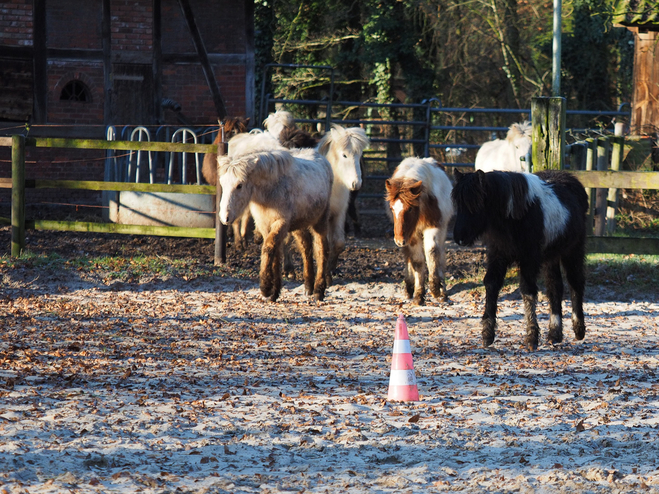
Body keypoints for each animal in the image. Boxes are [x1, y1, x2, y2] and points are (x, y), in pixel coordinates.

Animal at [219, 131, 332, 302]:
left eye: (239, 185)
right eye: (222, 184)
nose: (224, 217)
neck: (269, 192)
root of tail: (323, 160)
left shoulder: (281, 223)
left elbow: (268, 248)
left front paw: (265, 288)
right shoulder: (265, 225)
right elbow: (275, 252)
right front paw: (274, 291)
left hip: (320, 221)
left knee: (321, 249)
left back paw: (319, 290)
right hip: (299, 224)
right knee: (306, 248)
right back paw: (308, 286)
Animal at [386, 158, 454, 304]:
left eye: (410, 208)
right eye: (392, 208)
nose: (398, 240)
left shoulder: (434, 228)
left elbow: (432, 253)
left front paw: (436, 290)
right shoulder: (411, 235)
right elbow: (417, 261)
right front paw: (418, 295)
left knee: (440, 253)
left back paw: (442, 289)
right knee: (408, 257)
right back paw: (409, 288)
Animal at [454, 170, 588, 352]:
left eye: (475, 205)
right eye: (457, 204)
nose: (459, 238)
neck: (515, 215)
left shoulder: (529, 258)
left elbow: (527, 291)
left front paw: (531, 337)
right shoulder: (498, 255)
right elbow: (491, 284)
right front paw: (487, 334)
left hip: (573, 251)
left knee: (575, 283)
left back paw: (579, 330)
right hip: (551, 257)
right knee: (555, 287)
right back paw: (555, 334)